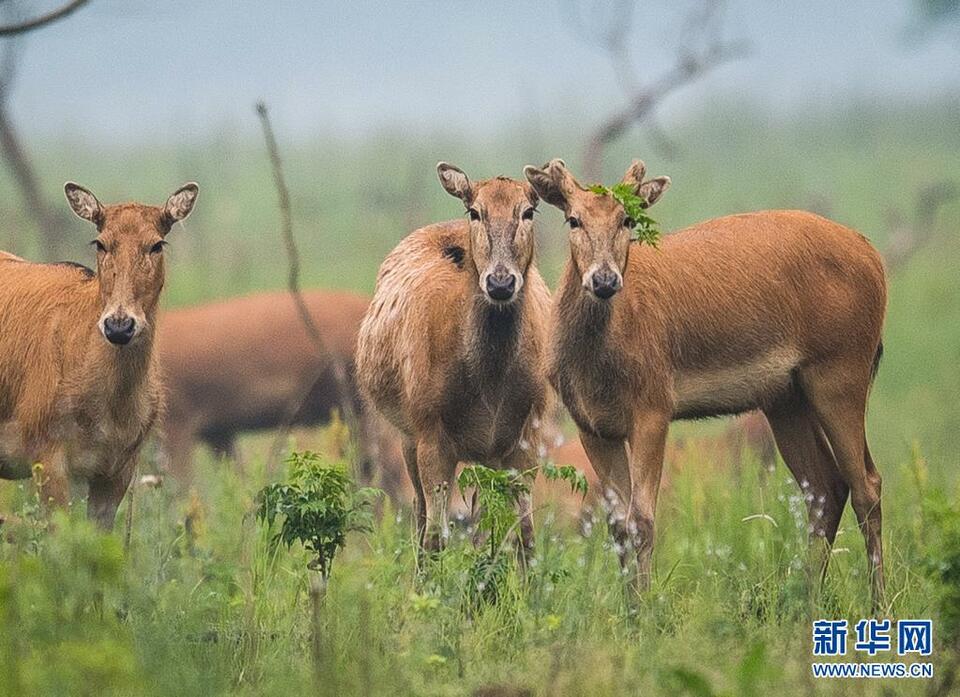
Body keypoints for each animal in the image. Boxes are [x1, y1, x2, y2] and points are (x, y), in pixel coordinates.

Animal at [528, 160, 888, 608]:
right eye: (573, 219)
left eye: (627, 219)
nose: (605, 280)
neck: (597, 368)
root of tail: (874, 258)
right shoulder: (591, 424)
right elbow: (618, 525)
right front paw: (629, 610)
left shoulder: (654, 404)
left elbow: (642, 520)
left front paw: (646, 612)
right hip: (786, 397)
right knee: (826, 486)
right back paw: (805, 599)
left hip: (842, 367)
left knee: (867, 485)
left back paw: (879, 604)